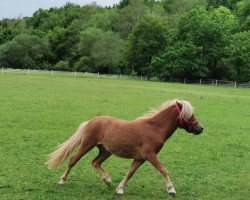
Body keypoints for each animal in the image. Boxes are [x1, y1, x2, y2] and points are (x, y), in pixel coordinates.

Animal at [46, 99, 204, 196]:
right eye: (189, 115)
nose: (200, 128)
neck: (154, 129)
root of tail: (91, 121)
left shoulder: (141, 158)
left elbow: (130, 173)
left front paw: (120, 189)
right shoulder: (150, 155)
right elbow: (163, 169)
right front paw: (171, 190)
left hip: (106, 151)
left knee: (95, 162)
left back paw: (107, 180)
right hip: (87, 145)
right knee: (73, 160)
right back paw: (62, 181)